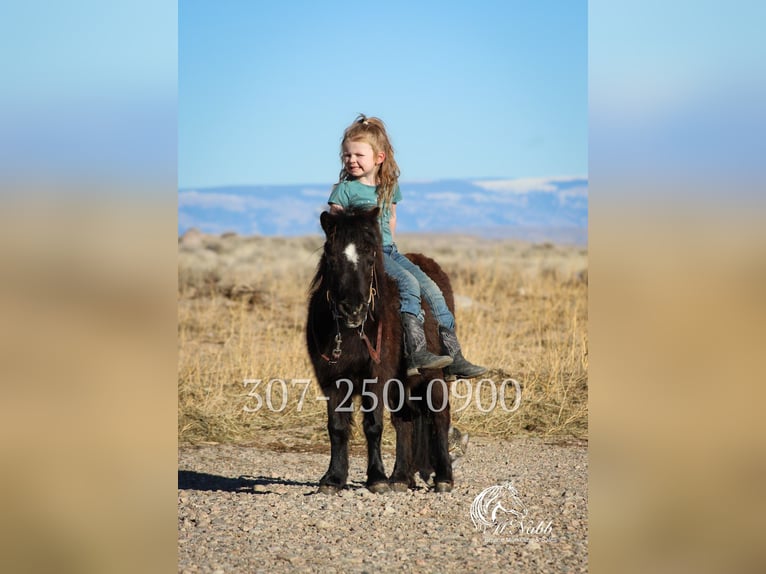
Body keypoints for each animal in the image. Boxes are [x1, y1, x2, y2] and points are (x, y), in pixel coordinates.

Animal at [306, 207, 455, 494]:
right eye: (331, 257)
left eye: (370, 256)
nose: (352, 309)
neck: (351, 333)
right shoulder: (332, 380)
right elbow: (337, 427)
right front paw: (333, 478)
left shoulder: (376, 377)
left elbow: (373, 425)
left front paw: (376, 478)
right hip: (401, 385)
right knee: (405, 420)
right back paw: (400, 477)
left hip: (434, 378)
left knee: (439, 417)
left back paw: (443, 478)